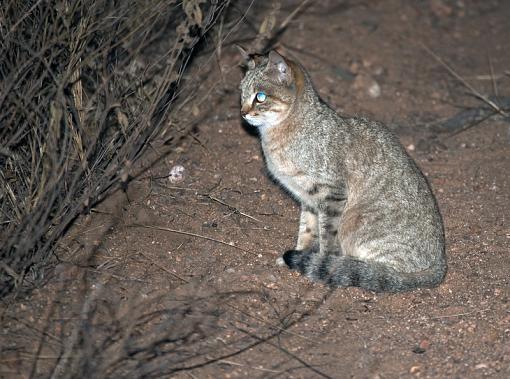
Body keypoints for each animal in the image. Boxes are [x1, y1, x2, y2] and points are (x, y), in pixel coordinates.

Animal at [239, 48, 446, 294]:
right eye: (241, 94)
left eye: (260, 96)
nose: (242, 113)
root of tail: (441, 264)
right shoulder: (308, 199)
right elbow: (307, 231)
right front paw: (303, 251)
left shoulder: (331, 193)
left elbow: (327, 235)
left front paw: (325, 261)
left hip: (360, 226)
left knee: (384, 271)